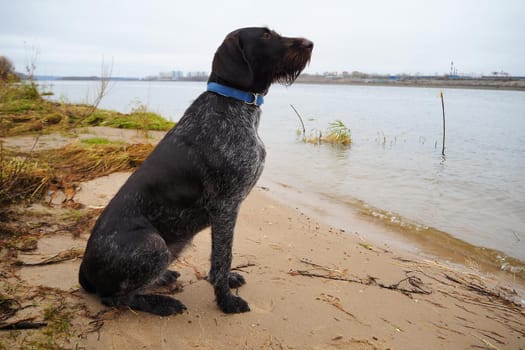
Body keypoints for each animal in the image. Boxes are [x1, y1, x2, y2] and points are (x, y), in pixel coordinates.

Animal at [80, 27, 314, 316]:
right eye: (266, 35)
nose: (310, 43)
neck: (232, 103)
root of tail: (83, 270)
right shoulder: (226, 206)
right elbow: (223, 257)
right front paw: (226, 301)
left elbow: (219, 258)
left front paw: (225, 283)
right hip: (153, 244)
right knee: (114, 297)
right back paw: (162, 303)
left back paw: (163, 278)